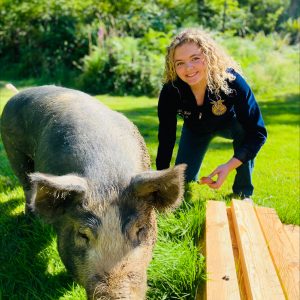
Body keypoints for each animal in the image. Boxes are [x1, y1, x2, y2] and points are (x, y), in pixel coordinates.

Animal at [0, 85, 185, 300]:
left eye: (140, 229)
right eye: (83, 234)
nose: (116, 296)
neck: (108, 176)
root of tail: (20, 92)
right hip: (13, 150)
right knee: (27, 187)